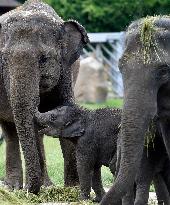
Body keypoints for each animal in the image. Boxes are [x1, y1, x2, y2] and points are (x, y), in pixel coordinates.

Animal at [0, 0, 88, 194]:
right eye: (3, 60)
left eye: (44, 59)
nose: (29, 191)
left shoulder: (65, 70)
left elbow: (65, 110)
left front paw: (72, 189)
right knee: (10, 130)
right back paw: (12, 187)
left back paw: (44, 185)